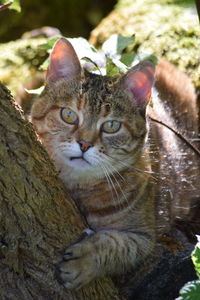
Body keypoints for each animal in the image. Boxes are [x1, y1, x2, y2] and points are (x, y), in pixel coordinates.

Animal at [30, 38, 199, 290]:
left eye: (111, 126)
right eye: (68, 115)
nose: (84, 144)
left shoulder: (145, 238)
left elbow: (114, 244)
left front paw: (85, 259)